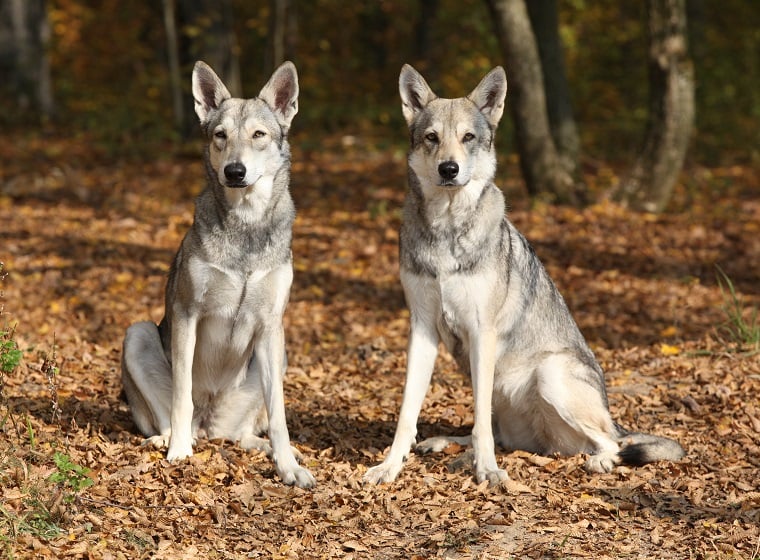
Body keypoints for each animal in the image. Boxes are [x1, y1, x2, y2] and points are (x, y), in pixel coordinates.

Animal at [123, 61, 314, 488]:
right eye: (220, 136)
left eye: (259, 135)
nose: (235, 171)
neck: (245, 226)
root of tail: (211, 424)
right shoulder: (187, 314)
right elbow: (180, 397)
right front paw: (178, 453)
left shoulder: (272, 325)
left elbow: (279, 415)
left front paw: (288, 466)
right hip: (137, 332)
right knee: (174, 420)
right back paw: (170, 441)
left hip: (276, 356)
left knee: (241, 434)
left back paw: (268, 449)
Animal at [362, 64, 684, 486]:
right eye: (432, 138)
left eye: (468, 138)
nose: (449, 169)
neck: (447, 230)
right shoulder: (422, 329)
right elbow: (407, 414)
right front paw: (389, 466)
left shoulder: (482, 331)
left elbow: (480, 424)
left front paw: (487, 471)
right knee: (496, 431)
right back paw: (447, 445)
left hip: (549, 374)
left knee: (612, 443)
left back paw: (597, 461)